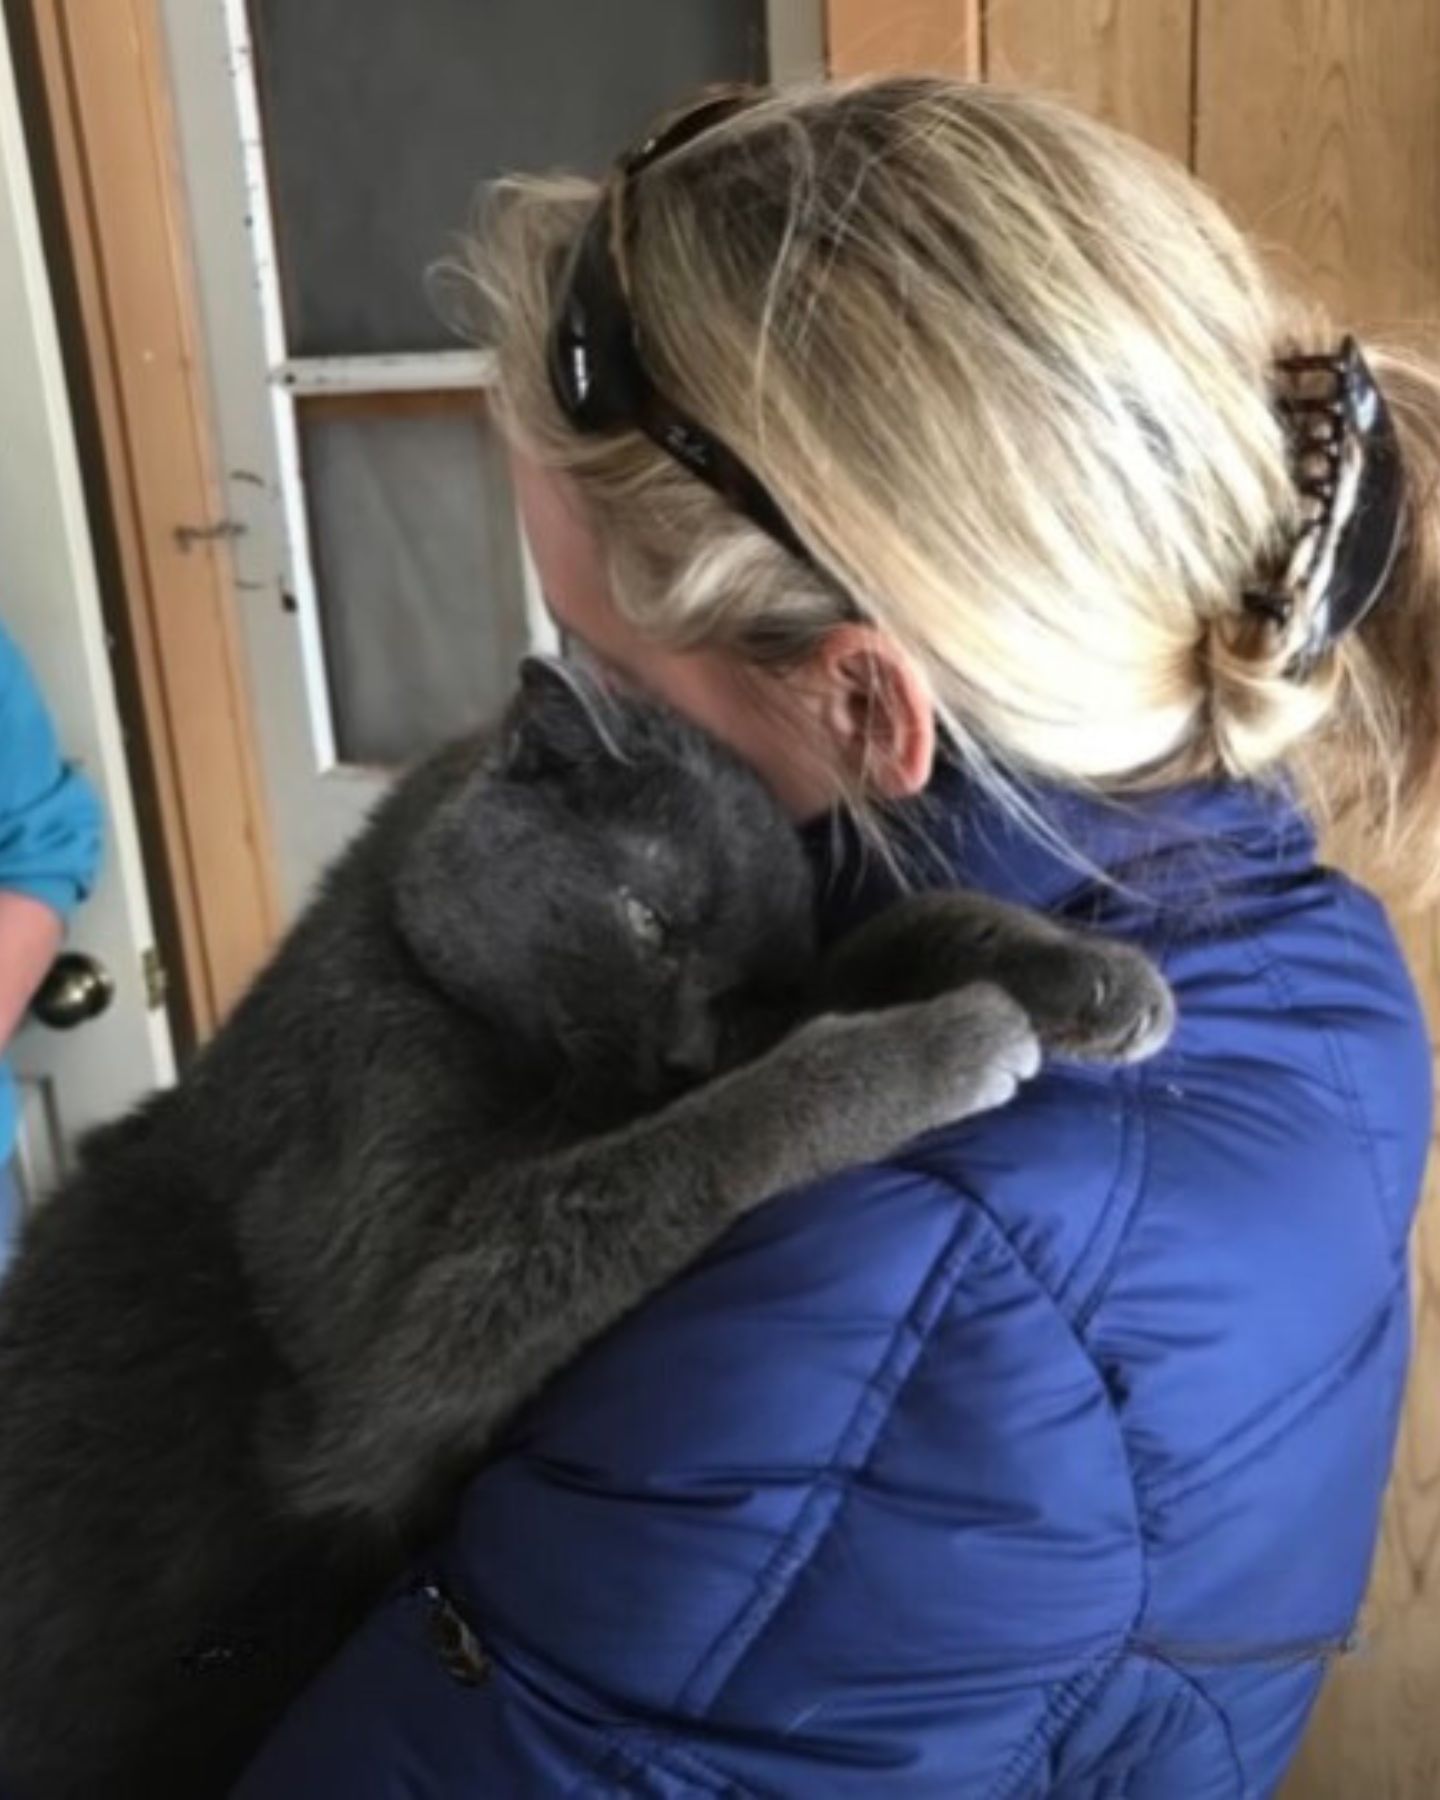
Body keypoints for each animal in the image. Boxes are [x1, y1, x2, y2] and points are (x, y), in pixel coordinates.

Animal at [0, 666, 1166, 1800]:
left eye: (753, 995)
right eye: (650, 922)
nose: (690, 1051)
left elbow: (884, 936)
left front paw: (1091, 975)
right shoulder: (395, 1299)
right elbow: (696, 1143)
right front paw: (954, 1040)